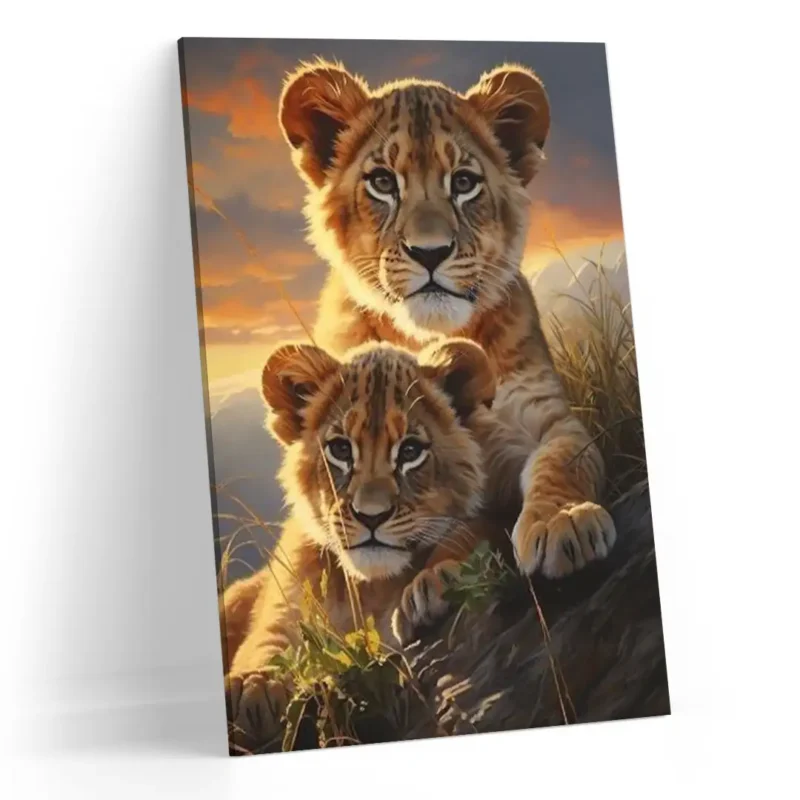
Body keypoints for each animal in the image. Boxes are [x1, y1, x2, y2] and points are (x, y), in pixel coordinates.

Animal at [223, 338, 498, 750]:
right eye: (340, 449)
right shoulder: (284, 601)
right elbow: (266, 639)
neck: (368, 589)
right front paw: (252, 687)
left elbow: (469, 536)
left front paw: (433, 586)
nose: (371, 516)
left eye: (410, 451)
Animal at [277, 58, 617, 580]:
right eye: (382, 182)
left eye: (463, 182)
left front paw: (564, 521)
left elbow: (565, 459)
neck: (428, 335)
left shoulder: (547, 417)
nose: (430, 252)